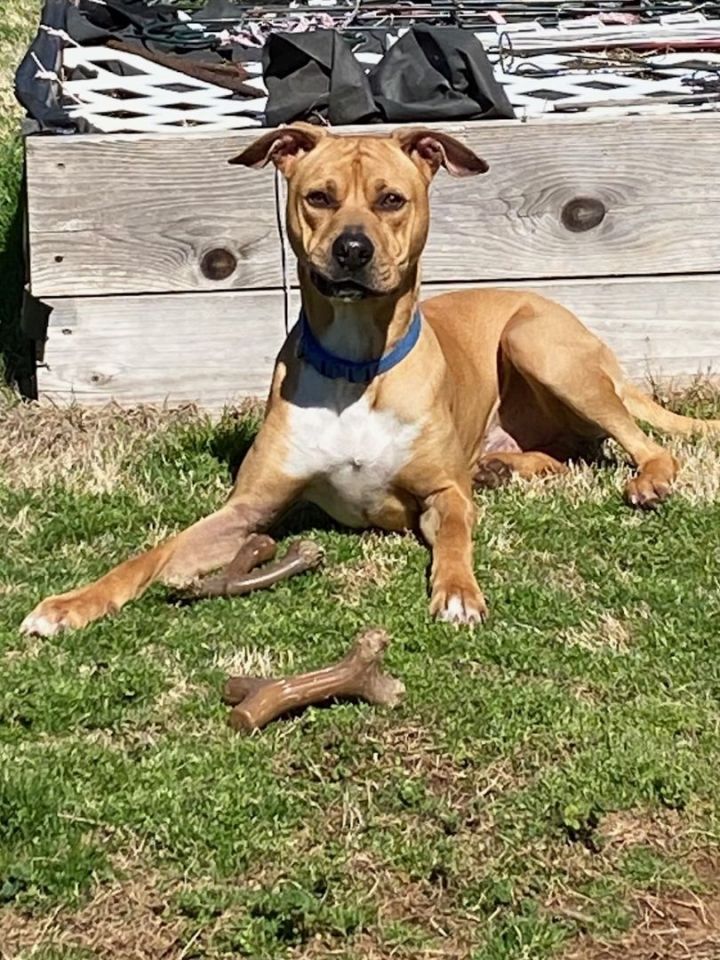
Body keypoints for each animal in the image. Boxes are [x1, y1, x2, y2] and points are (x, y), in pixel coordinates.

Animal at [21, 122, 720, 636]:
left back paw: (646, 480)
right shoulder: (246, 510)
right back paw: (504, 467)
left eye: (391, 199)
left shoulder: (442, 492)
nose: (352, 250)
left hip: (538, 341)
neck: (358, 365)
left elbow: (457, 536)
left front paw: (458, 592)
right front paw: (72, 603)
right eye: (318, 196)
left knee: (639, 442)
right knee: (569, 451)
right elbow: (154, 553)